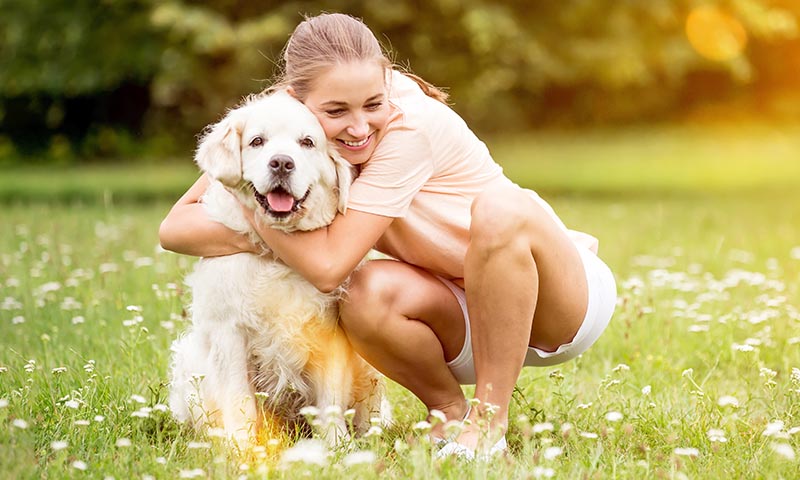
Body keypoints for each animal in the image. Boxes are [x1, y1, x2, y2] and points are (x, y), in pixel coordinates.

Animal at [170, 93, 390, 446]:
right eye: (257, 141)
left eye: (307, 142)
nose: (282, 163)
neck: (282, 254)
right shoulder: (230, 332)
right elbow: (239, 399)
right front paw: (243, 447)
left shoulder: (331, 334)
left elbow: (330, 400)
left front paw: (337, 446)